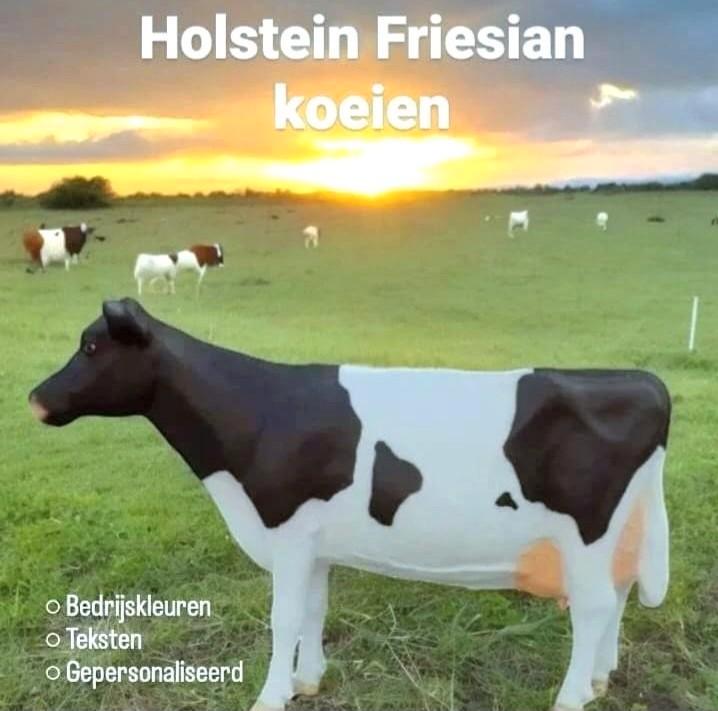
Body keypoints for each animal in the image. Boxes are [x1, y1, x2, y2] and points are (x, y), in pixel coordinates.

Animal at [29, 299, 671, 711]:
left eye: (91, 345)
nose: (35, 398)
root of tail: (645, 382)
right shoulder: (314, 543)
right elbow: (314, 611)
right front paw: (307, 681)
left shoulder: (287, 531)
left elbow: (284, 616)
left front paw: (270, 697)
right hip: (613, 531)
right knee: (615, 596)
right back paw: (600, 679)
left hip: (585, 531)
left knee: (592, 606)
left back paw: (570, 697)